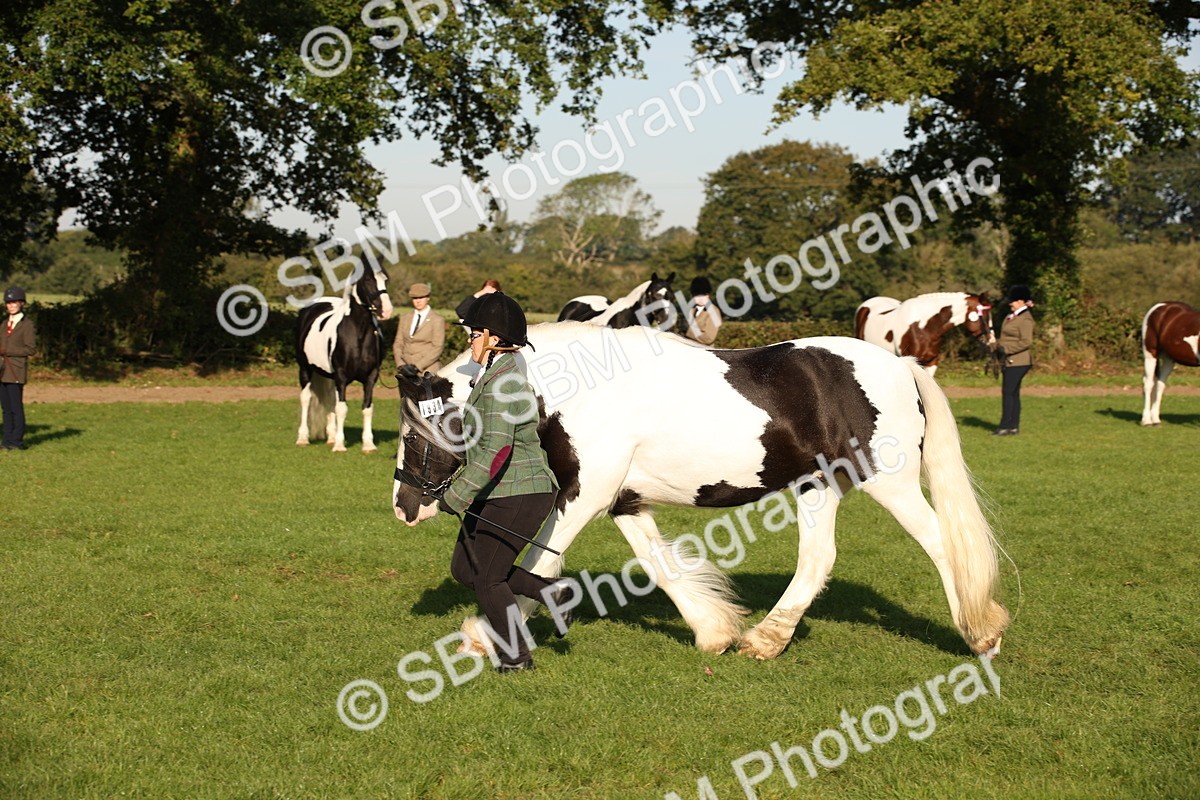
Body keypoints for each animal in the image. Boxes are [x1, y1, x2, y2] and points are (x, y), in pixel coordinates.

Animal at [295, 267, 394, 452]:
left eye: (385, 280)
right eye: (368, 280)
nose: (386, 310)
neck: (357, 335)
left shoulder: (370, 377)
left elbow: (367, 408)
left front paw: (368, 444)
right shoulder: (341, 377)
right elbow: (341, 409)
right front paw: (340, 445)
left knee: (329, 400)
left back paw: (331, 437)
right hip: (305, 369)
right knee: (306, 399)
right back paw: (303, 438)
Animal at [392, 323, 1009, 662]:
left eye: (412, 435)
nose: (404, 508)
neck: (578, 389)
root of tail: (901, 366)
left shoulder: (586, 494)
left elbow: (540, 565)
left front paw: (481, 638)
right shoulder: (623, 500)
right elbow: (659, 566)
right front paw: (713, 631)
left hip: (890, 482)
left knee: (943, 546)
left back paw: (982, 635)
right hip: (818, 485)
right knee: (818, 558)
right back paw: (765, 640)